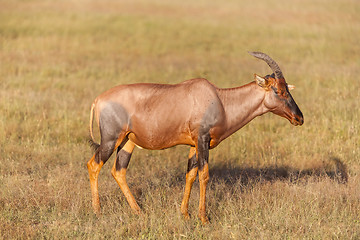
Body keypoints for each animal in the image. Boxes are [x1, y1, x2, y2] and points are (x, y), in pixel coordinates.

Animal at [87, 51, 304, 224]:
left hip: (127, 142)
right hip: (110, 140)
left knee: (118, 171)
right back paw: (97, 211)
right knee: (94, 165)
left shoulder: (193, 145)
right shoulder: (202, 140)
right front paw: (204, 218)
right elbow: (204, 175)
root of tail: (98, 100)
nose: (299, 118)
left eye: (287, 89)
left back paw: (139, 212)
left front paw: (185, 214)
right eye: (279, 90)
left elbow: (190, 175)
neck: (219, 100)